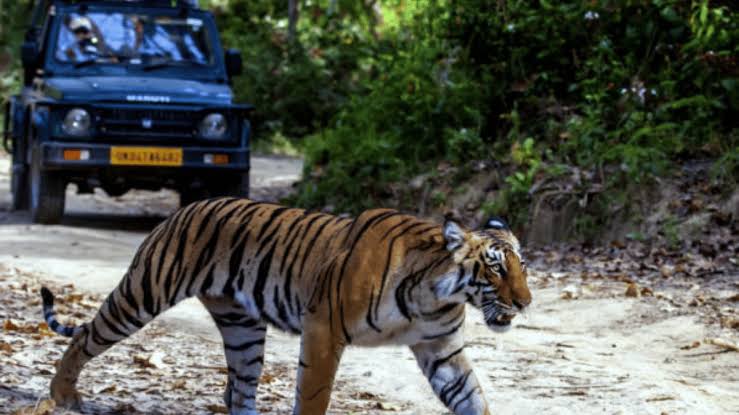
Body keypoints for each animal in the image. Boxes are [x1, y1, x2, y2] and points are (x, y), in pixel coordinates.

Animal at [40, 197, 531, 415]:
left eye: (523, 266)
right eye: (495, 268)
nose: (525, 303)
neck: (435, 294)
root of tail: (186, 206)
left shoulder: (440, 347)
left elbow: (471, 396)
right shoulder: (323, 329)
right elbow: (314, 395)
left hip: (242, 329)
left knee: (240, 389)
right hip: (145, 291)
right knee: (86, 336)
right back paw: (63, 395)